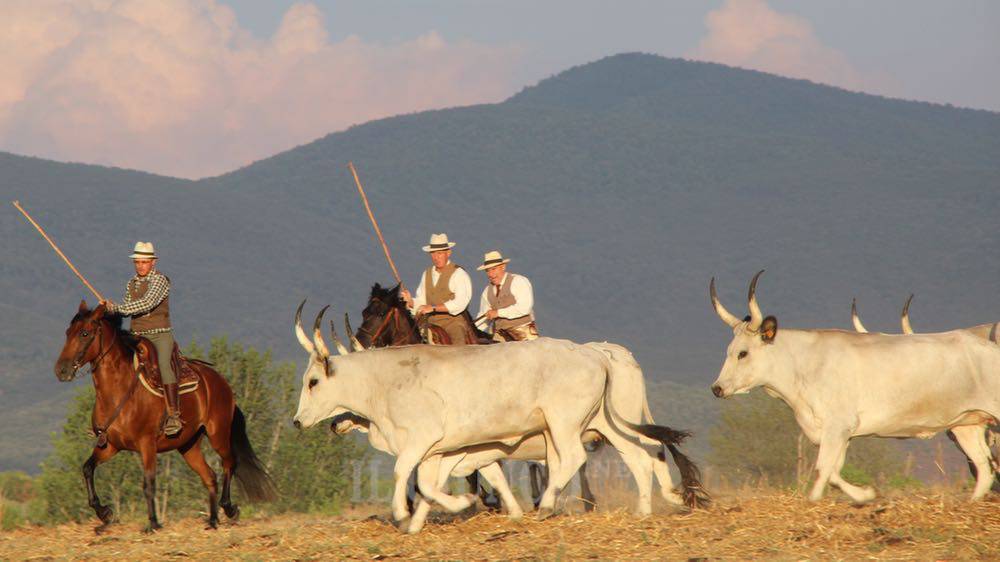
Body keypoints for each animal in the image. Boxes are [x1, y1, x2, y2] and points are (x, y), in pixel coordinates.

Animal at [55, 300, 278, 532]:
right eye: (68, 332)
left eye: (85, 333)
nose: (61, 370)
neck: (119, 390)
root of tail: (221, 382)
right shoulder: (110, 445)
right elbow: (88, 468)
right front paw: (105, 514)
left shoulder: (147, 445)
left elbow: (148, 483)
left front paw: (153, 523)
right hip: (188, 445)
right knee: (210, 476)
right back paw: (212, 521)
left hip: (218, 434)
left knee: (229, 463)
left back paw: (229, 509)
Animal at [712, 270, 1000, 498]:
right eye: (728, 351)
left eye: (743, 353)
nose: (717, 388)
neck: (805, 364)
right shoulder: (839, 434)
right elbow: (832, 473)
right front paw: (866, 495)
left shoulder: (838, 426)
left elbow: (822, 471)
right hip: (966, 425)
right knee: (984, 470)